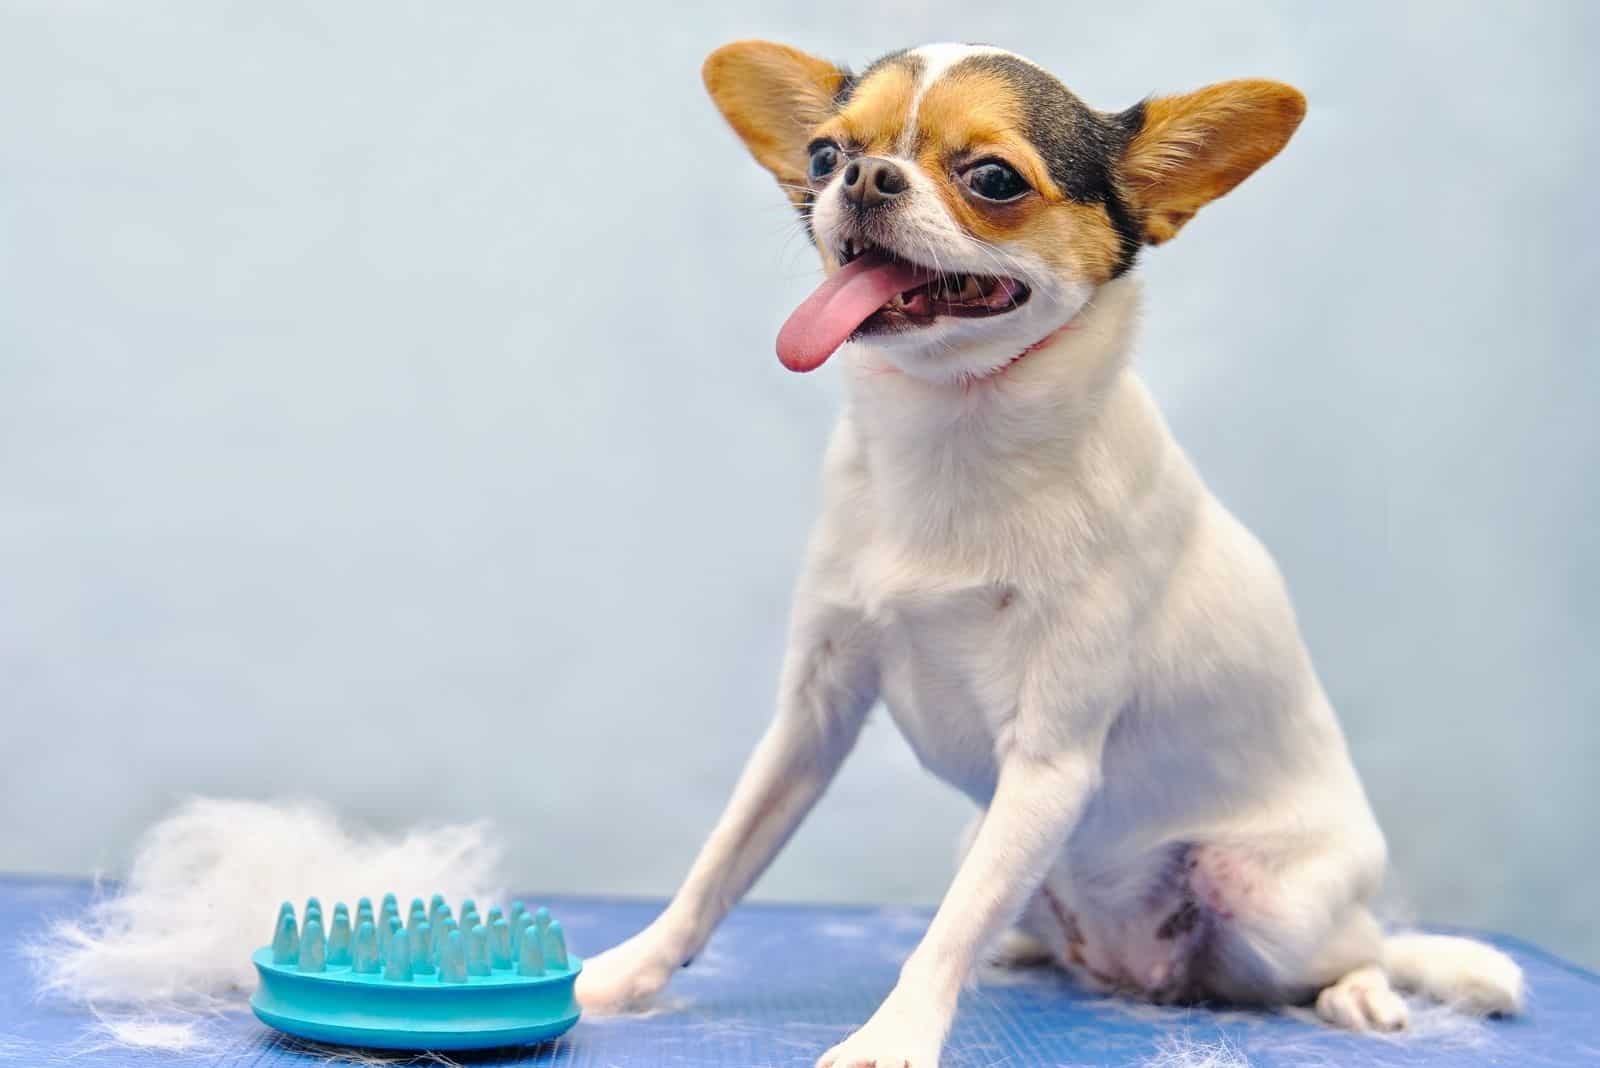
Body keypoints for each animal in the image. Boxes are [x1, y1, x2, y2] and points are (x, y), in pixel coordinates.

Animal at [572, 37, 1510, 1061]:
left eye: (993, 178)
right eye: (822, 156)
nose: (864, 176)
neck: (951, 439)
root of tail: (1139, 971)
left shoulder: (1049, 765)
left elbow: (946, 928)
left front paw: (893, 1035)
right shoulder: (812, 718)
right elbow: (721, 864)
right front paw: (630, 971)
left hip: (1273, 903)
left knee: (1358, 946)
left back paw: (1363, 992)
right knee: (1014, 908)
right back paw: (1029, 952)